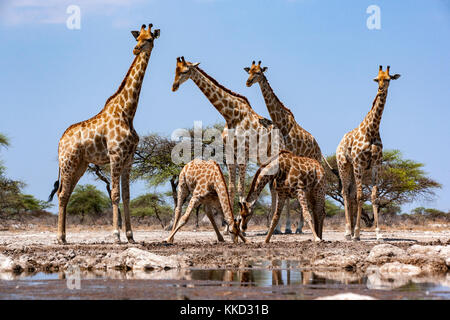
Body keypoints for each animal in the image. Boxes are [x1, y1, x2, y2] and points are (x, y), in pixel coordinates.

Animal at [48, 23, 161, 244]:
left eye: (149, 39)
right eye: (137, 39)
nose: (136, 50)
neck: (128, 112)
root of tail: (60, 141)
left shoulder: (129, 158)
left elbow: (127, 196)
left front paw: (131, 236)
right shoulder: (115, 155)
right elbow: (115, 194)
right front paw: (116, 235)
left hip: (81, 165)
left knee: (66, 193)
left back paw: (64, 236)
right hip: (68, 163)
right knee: (62, 194)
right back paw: (59, 237)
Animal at [171, 56, 284, 229]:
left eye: (184, 71)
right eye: (175, 70)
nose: (174, 86)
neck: (231, 115)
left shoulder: (243, 152)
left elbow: (240, 187)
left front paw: (239, 221)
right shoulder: (230, 153)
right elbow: (230, 187)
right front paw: (227, 225)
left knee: (275, 186)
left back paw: (278, 227)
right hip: (263, 159)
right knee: (272, 186)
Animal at [244, 61, 336, 234]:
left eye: (258, 72)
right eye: (249, 71)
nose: (248, 82)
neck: (283, 124)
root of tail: (319, 149)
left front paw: (286, 227)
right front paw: (278, 228)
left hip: (312, 161)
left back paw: (300, 227)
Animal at [338, 65, 400, 240]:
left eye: (388, 79)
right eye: (377, 79)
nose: (380, 89)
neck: (371, 131)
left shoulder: (376, 165)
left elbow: (374, 197)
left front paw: (379, 233)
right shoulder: (359, 163)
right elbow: (360, 197)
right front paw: (357, 234)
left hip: (353, 170)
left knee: (351, 193)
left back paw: (351, 230)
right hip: (344, 166)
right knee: (345, 193)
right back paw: (348, 232)